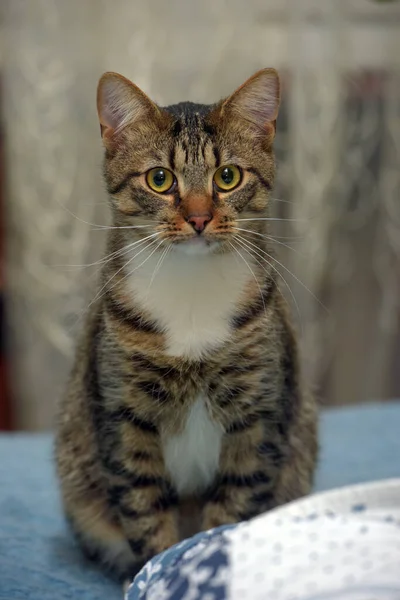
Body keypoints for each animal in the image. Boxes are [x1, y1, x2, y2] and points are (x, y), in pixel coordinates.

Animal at [56, 67, 318, 580]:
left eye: (227, 176)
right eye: (160, 179)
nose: (199, 218)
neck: (192, 290)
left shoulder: (259, 412)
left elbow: (233, 505)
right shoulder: (123, 413)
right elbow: (144, 508)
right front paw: (156, 571)